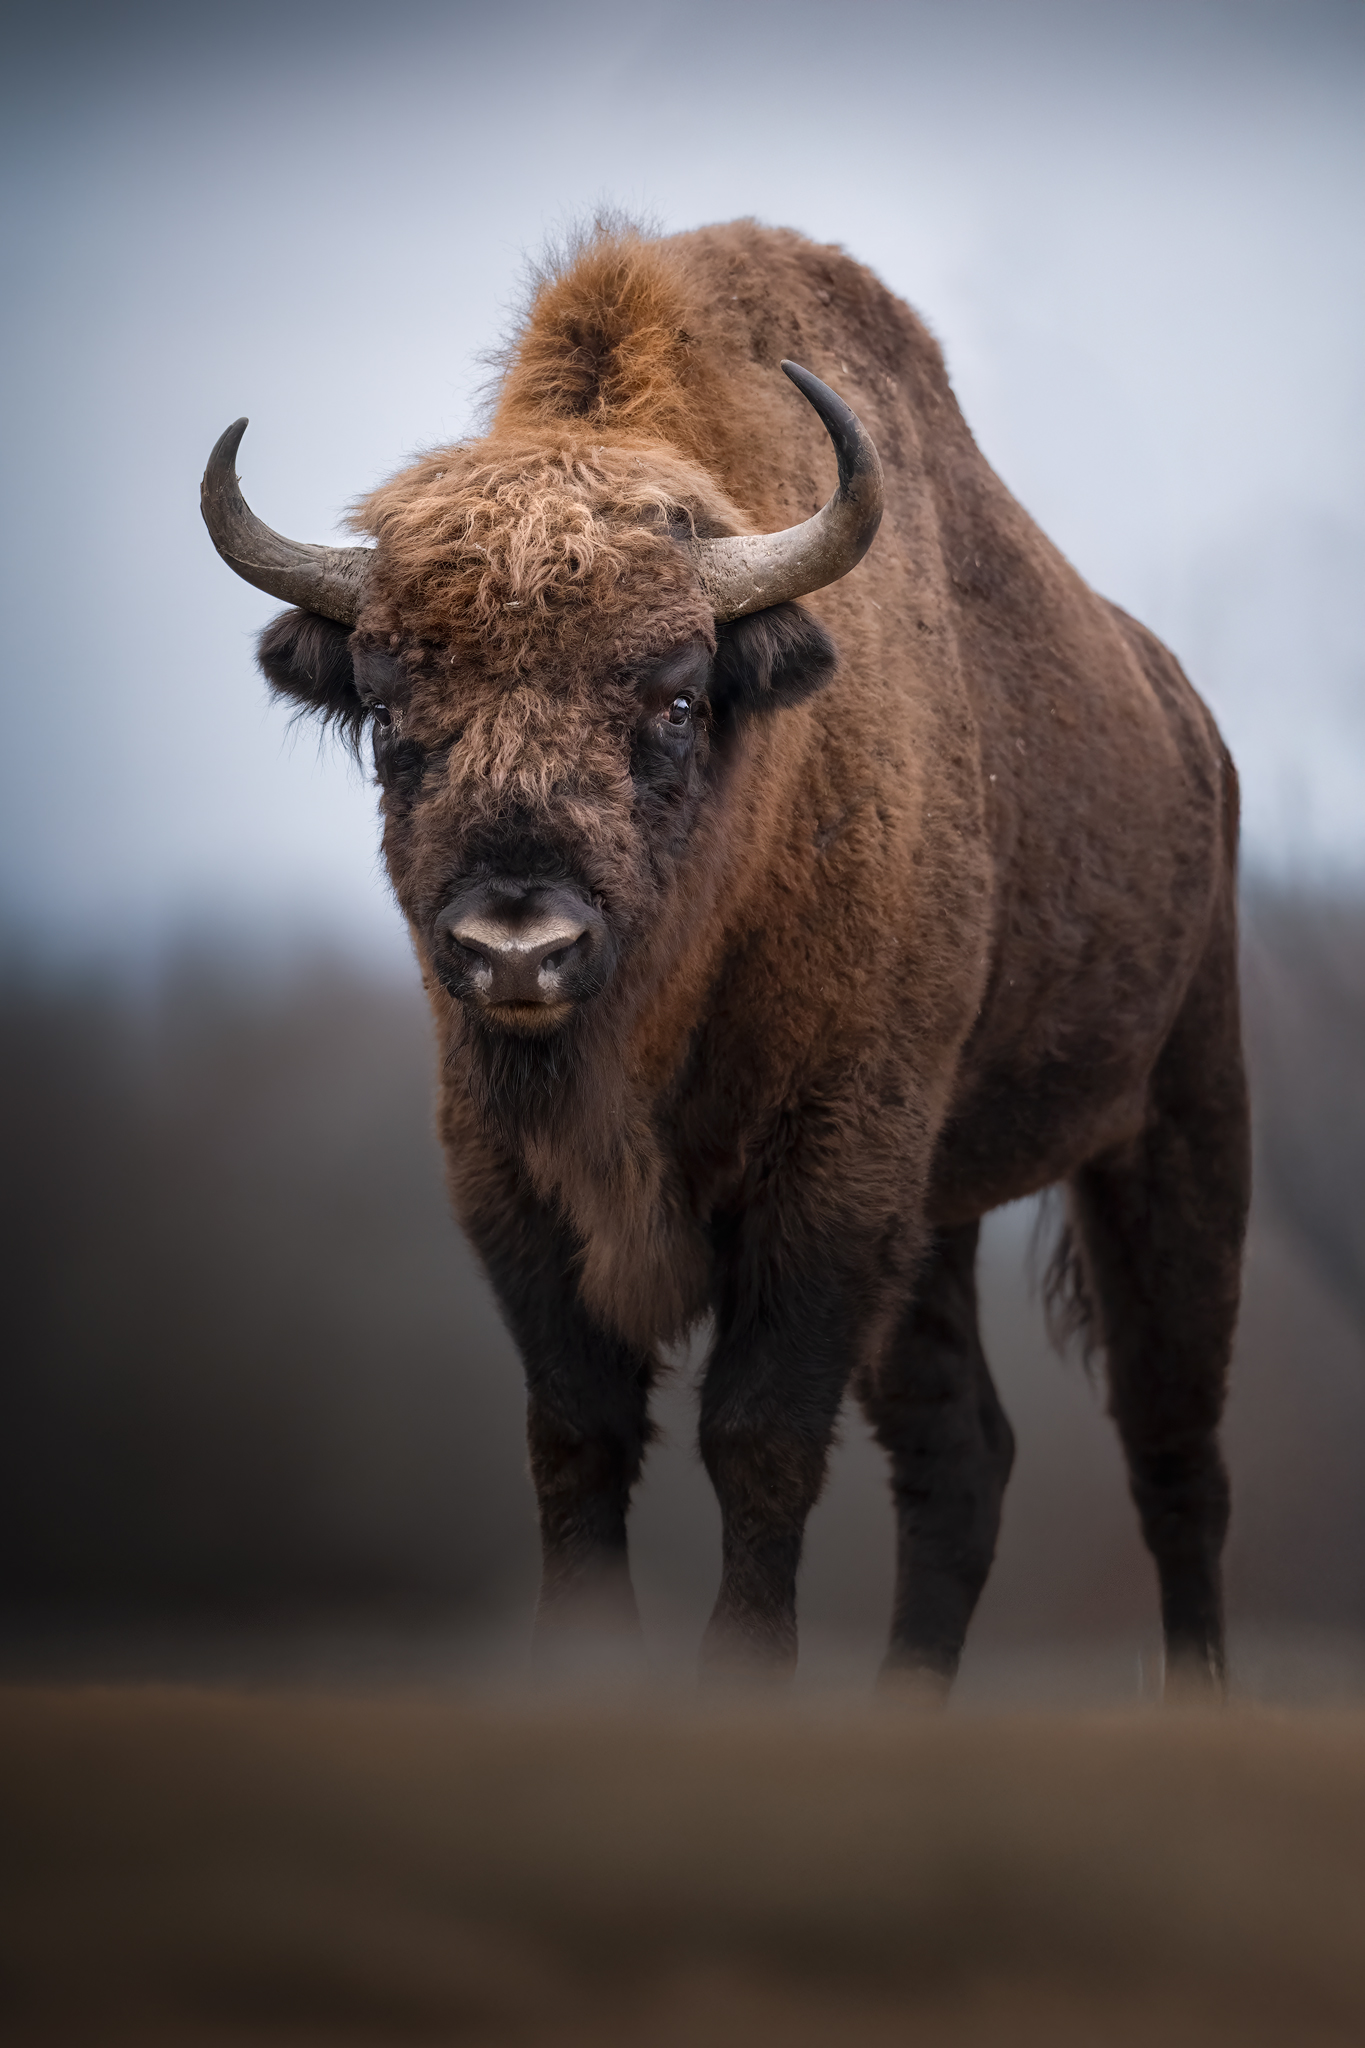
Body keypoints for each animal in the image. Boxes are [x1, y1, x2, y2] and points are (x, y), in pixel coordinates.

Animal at [203, 220, 1248, 1696]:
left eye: (680, 697)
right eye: (390, 705)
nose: (517, 942)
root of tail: (1185, 721)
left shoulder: (831, 1173)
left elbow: (755, 1433)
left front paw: (739, 1684)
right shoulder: (504, 1176)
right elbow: (578, 1431)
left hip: (1174, 1125)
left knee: (1173, 1448)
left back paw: (1196, 1694)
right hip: (943, 1220)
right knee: (963, 1455)